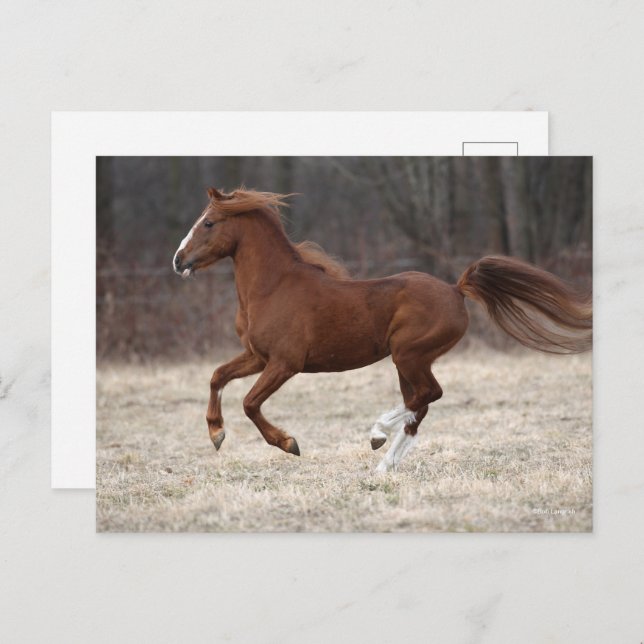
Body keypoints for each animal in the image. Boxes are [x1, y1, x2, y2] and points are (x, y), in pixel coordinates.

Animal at [173, 188, 592, 472]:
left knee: (428, 395)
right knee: (420, 406)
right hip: (407, 360)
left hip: (409, 355)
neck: (273, 287)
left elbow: (249, 403)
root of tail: (455, 289)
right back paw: (383, 464)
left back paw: (376, 434)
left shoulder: (285, 363)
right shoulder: (257, 357)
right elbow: (217, 376)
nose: (178, 261)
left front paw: (288, 443)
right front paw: (216, 434)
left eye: (208, 222)